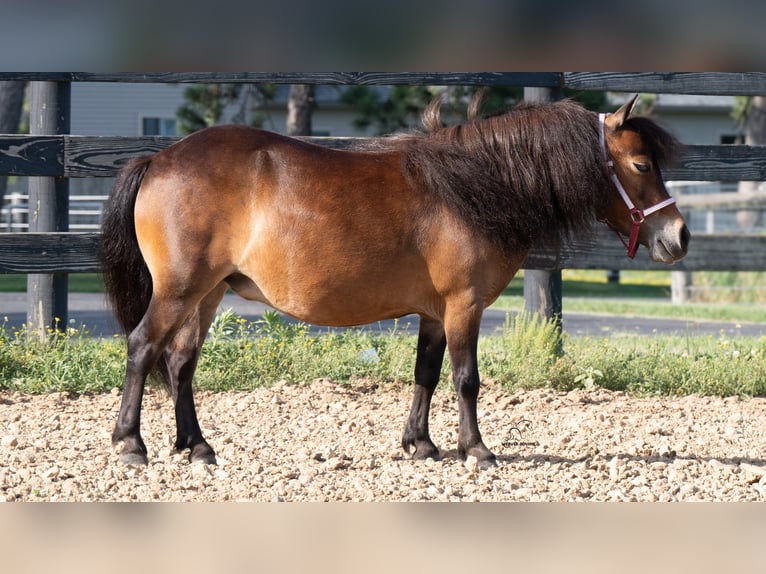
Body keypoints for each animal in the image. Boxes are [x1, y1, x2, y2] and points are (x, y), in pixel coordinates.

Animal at [101, 93, 690, 466]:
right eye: (641, 165)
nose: (679, 236)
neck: (471, 188)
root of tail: (161, 158)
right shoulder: (463, 305)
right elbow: (466, 379)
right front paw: (476, 451)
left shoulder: (434, 312)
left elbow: (425, 374)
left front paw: (421, 445)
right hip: (180, 289)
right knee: (143, 347)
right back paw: (132, 445)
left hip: (208, 292)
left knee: (181, 361)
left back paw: (197, 446)